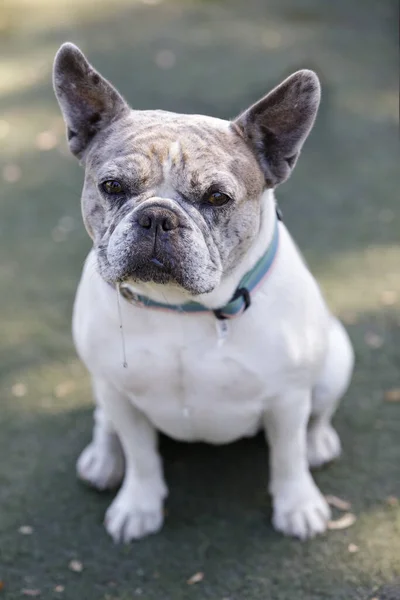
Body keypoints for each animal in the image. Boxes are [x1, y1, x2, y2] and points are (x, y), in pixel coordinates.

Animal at [52, 43, 354, 544]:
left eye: (217, 198)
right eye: (112, 187)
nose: (157, 217)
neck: (182, 308)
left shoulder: (288, 398)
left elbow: (287, 457)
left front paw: (298, 506)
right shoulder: (121, 394)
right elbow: (141, 456)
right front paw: (138, 506)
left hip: (335, 360)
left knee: (318, 415)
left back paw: (319, 442)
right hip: (103, 385)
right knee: (105, 422)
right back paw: (103, 458)